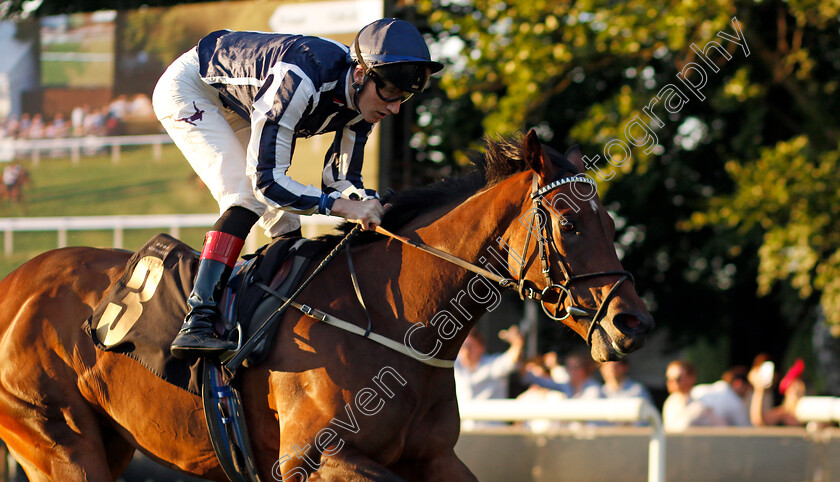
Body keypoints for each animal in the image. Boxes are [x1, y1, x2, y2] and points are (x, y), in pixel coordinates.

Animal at [0, 130, 652, 480]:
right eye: (569, 223)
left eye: (611, 222)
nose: (634, 323)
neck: (393, 323)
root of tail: (16, 284)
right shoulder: (313, 460)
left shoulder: (434, 458)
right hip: (59, 442)